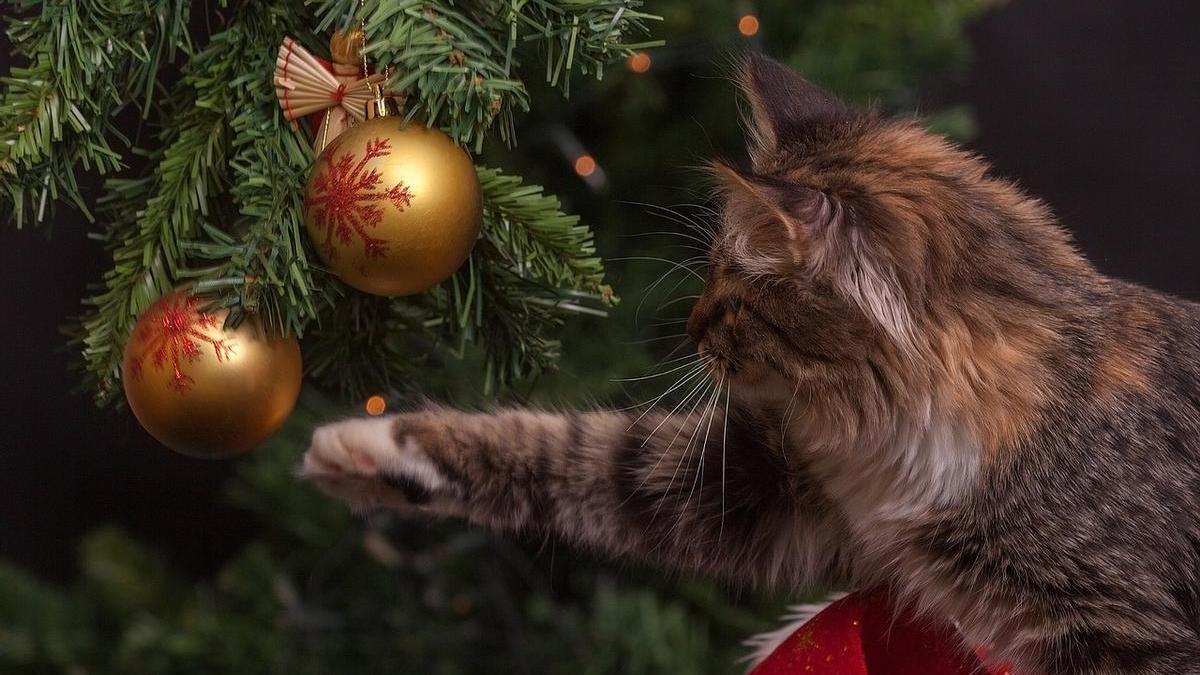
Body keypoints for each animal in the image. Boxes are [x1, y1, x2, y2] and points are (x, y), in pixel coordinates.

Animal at [304, 53, 1200, 672]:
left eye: (733, 294)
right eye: (708, 274)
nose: (691, 325)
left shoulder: (1127, 630)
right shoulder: (772, 486)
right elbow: (573, 452)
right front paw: (371, 448)